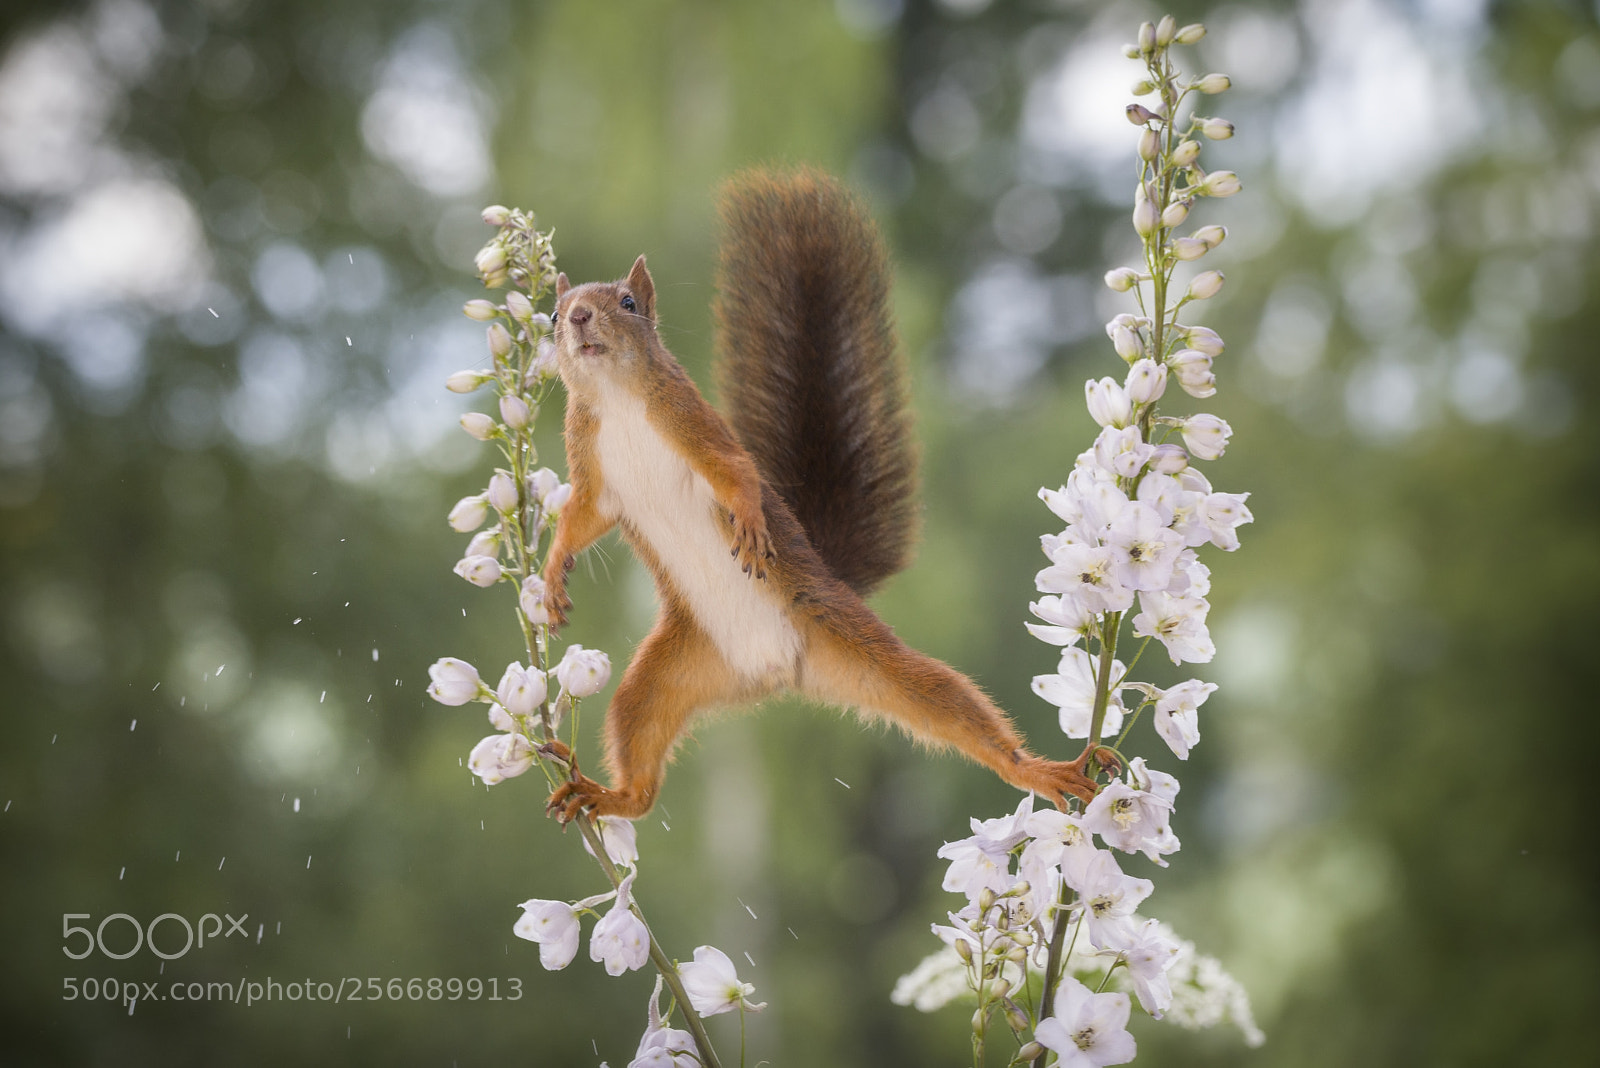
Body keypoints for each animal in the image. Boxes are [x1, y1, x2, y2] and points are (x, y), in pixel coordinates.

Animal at [541, 168, 1098, 822]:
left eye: (627, 304)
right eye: (552, 314)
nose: (579, 317)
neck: (619, 399)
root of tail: (773, 674)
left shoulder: (694, 425)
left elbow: (739, 474)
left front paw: (751, 523)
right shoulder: (593, 469)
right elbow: (582, 516)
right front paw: (552, 573)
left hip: (853, 639)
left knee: (943, 699)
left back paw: (1036, 769)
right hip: (661, 677)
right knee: (641, 766)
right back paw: (610, 794)